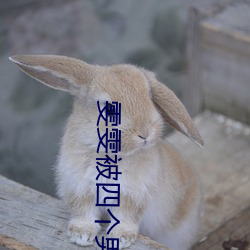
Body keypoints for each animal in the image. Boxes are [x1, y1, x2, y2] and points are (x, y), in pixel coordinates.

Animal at [9, 55, 204, 250]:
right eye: (109, 108)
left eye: (150, 97)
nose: (145, 133)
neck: (110, 155)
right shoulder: (81, 190)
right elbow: (84, 213)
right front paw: (81, 236)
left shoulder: (132, 196)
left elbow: (125, 217)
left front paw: (120, 239)